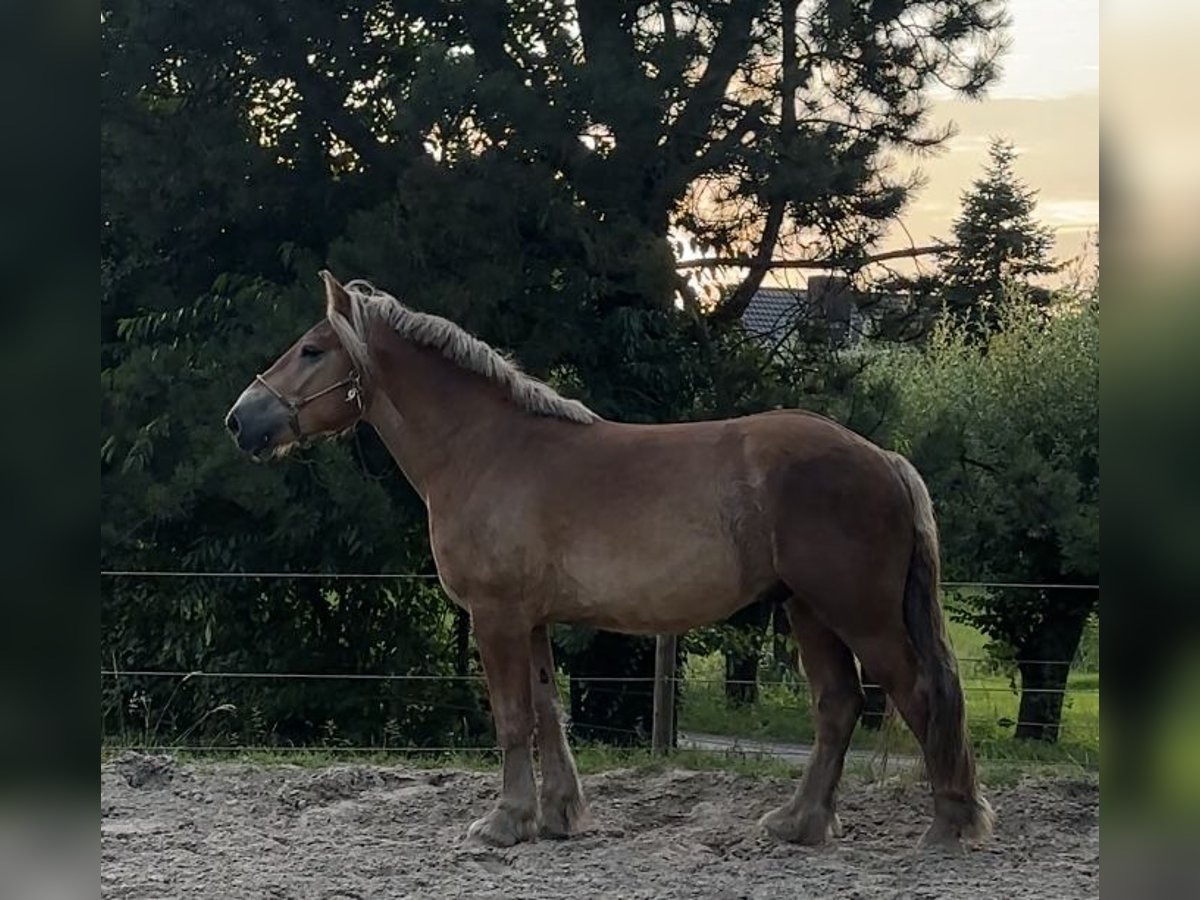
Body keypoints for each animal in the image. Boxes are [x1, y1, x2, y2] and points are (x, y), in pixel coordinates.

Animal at [225, 271, 993, 849]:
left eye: (312, 349)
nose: (241, 420)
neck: (484, 448)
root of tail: (883, 458)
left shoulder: (496, 616)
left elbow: (512, 717)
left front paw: (503, 821)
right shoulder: (531, 620)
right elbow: (547, 712)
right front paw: (558, 816)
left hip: (859, 615)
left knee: (919, 695)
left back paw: (950, 826)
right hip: (809, 612)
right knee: (839, 706)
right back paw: (798, 824)